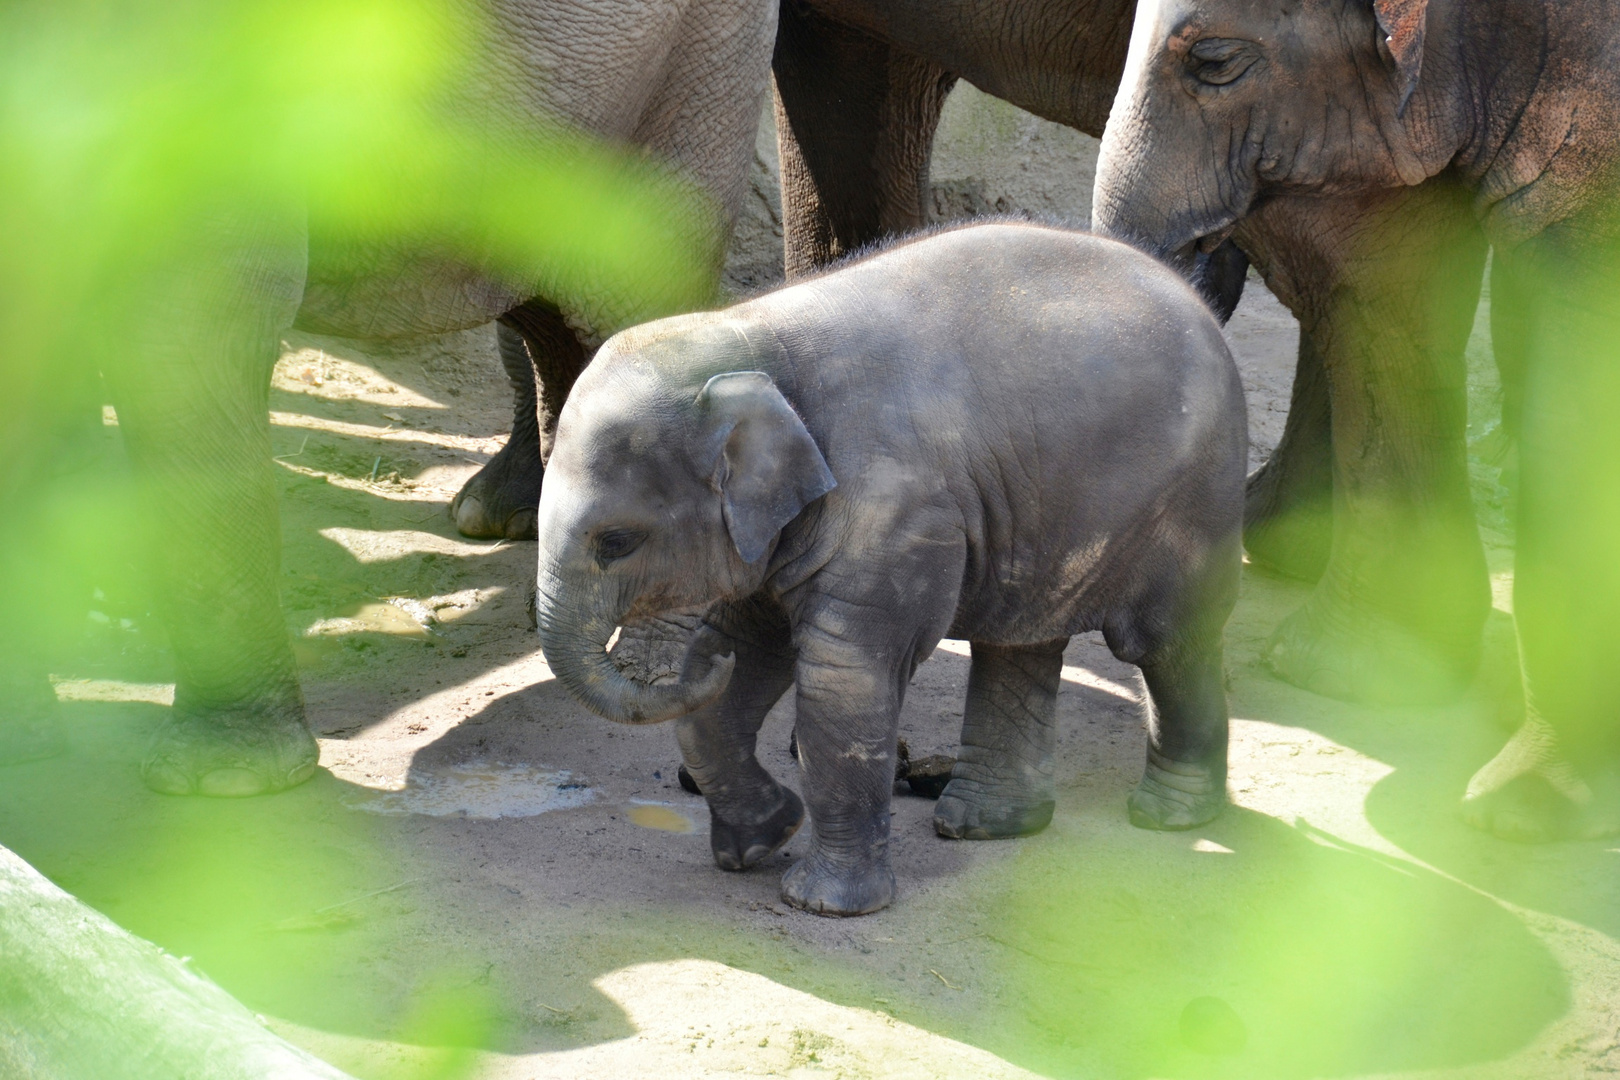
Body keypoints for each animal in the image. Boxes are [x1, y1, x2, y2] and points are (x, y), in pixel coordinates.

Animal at [537, 223, 1244, 919]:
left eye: (616, 541)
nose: (685, 666)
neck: (751, 337)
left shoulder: (892, 508)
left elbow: (841, 674)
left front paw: (821, 905)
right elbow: (753, 646)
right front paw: (760, 843)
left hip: (1195, 496)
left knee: (1163, 642)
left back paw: (1169, 816)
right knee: (1019, 641)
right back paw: (985, 826)